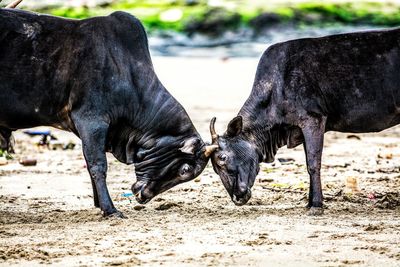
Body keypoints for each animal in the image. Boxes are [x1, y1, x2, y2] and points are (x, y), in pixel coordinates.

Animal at [0, 7, 219, 218]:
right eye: (185, 170)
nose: (144, 196)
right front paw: (110, 209)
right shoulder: (91, 121)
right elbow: (98, 165)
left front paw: (99, 204)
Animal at [209, 27, 400, 216]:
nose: (237, 197)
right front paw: (309, 202)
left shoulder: (313, 118)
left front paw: (316, 205)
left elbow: (313, 164)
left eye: (222, 158)